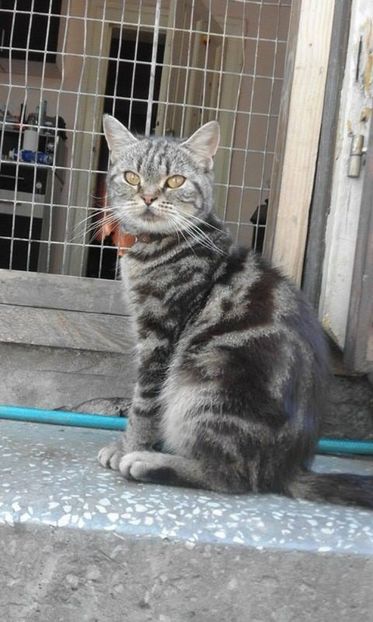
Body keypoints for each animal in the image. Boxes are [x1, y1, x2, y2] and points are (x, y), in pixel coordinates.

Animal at [98, 114, 372, 510]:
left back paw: (149, 463)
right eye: (132, 177)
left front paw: (128, 446)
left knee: (235, 477)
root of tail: (288, 468)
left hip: (206, 384)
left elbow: (144, 405)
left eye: (175, 181)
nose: (148, 197)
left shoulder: (161, 337)